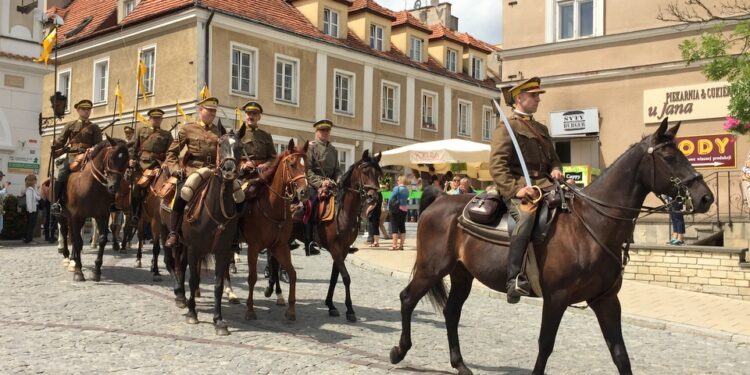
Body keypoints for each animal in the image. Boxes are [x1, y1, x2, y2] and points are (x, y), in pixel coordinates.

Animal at [58, 138, 130, 282]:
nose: (113, 187)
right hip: (63, 216)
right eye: (111, 158)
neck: (92, 186)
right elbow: (79, 242)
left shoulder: (102, 215)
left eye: (126, 161)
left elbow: (102, 239)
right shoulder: (77, 216)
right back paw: (67, 258)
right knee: (65, 232)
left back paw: (73, 260)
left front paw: (96, 271)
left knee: (72, 236)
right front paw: (79, 271)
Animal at [169, 131, 242, 334]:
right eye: (220, 143)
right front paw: (192, 314)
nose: (229, 169)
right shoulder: (194, 248)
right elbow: (193, 279)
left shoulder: (223, 251)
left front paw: (218, 320)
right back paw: (181, 297)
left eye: (240, 146)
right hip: (175, 240)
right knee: (175, 264)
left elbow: (218, 285)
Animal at [242, 140, 310, 322]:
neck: (271, 206)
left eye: (307, 166)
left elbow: (292, 273)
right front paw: (250, 309)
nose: (304, 192)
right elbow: (252, 277)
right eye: (292, 165)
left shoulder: (280, 246)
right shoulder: (253, 247)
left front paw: (291, 309)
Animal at [286, 150, 382, 324]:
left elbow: (334, 277)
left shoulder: (342, 250)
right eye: (365, 170)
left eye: (378, 172)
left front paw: (330, 305)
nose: (374, 197)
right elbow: (346, 278)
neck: (344, 213)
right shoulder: (335, 249)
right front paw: (350, 310)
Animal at [390, 118, 712, 375]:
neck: (591, 225)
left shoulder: (606, 300)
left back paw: (459, 364)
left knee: (451, 313)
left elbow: (620, 354)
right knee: (407, 299)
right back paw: (399, 350)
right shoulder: (556, 298)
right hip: (432, 268)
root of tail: (440, 200)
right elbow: (545, 345)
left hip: (461, 274)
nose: (705, 196)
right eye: (669, 156)